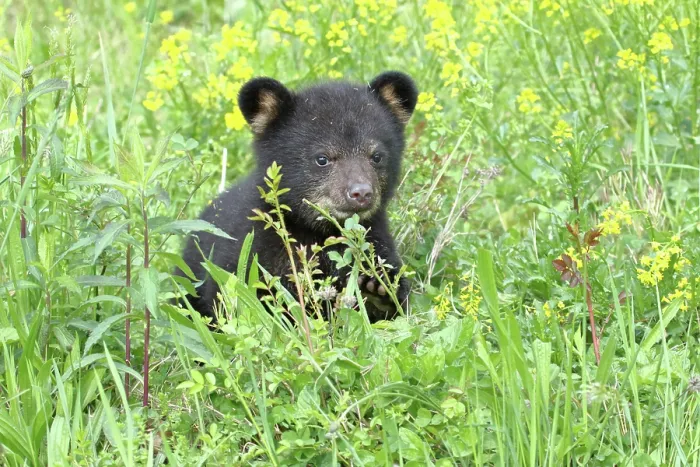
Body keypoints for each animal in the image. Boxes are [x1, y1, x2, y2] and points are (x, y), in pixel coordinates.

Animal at [179, 71, 418, 323]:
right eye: (322, 158)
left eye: (377, 156)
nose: (361, 192)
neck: (317, 231)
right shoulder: (249, 250)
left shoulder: (376, 241)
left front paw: (377, 291)